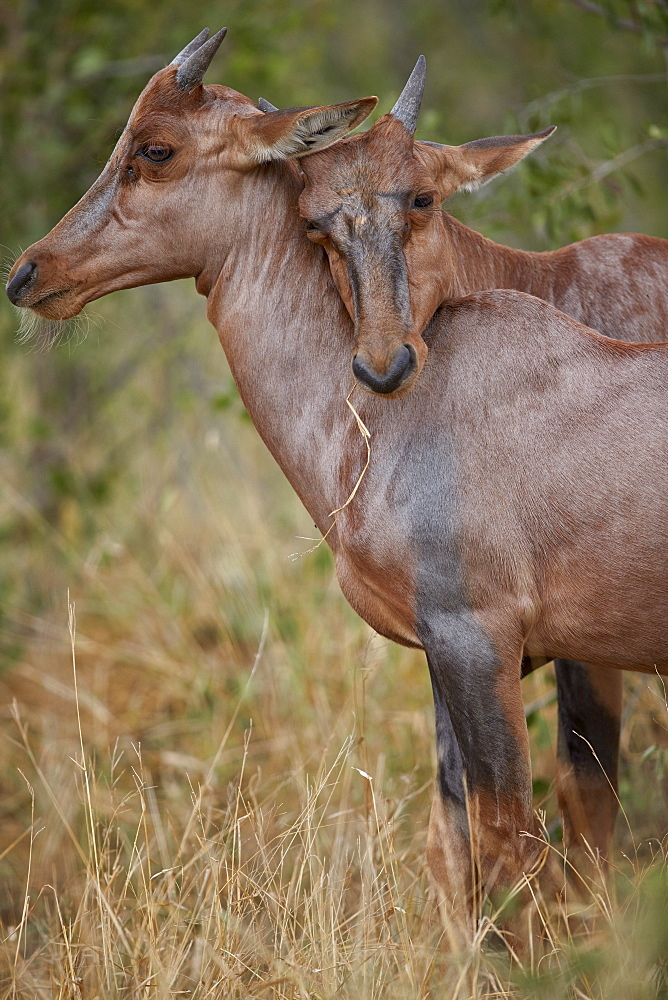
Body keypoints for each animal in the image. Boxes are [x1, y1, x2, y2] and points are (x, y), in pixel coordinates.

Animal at [6, 29, 668, 936]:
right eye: (315, 217)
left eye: (155, 148)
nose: (28, 273)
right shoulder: (451, 649)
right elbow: (455, 844)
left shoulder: (482, 638)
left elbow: (511, 844)